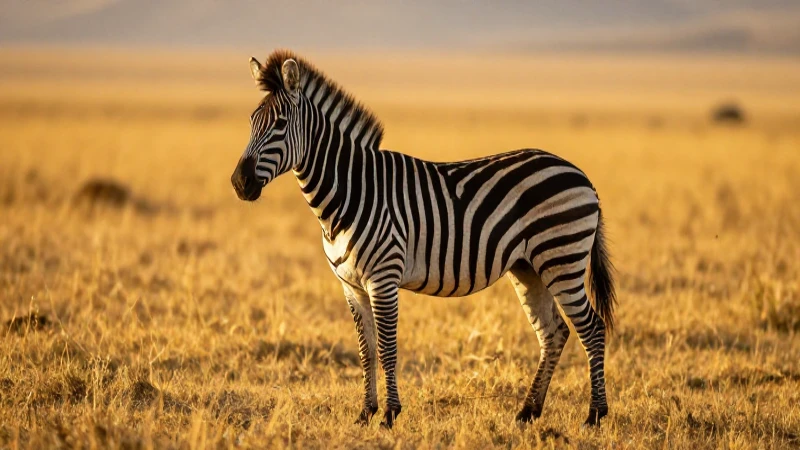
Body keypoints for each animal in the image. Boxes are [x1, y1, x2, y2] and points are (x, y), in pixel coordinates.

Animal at [230, 50, 616, 429]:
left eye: (280, 124)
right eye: (251, 122)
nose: (239, 183)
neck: (350, 193)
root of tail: (581, 175)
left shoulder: (383, 278)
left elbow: (387, 348)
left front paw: (389, 414)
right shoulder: (350, 286)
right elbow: (365, 350)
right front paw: (365, 413)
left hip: (561, 260)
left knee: (592, 329)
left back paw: (594, 415)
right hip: (529, 268)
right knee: (554, 333)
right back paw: (528, 412)